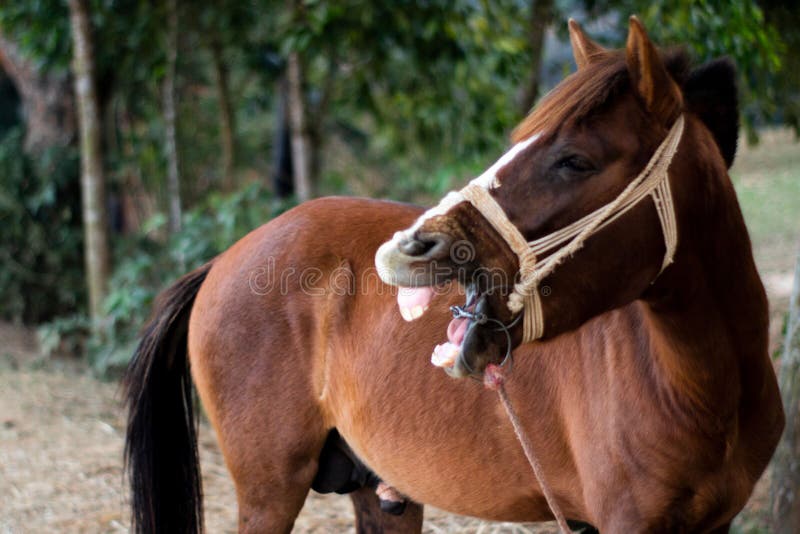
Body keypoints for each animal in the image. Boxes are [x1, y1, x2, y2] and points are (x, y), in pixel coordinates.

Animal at [123, 17, 780, 534]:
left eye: (575, 160)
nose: (415, 246)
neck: (701, 388)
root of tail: (221, 261)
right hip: (269, 492)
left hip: (379, 492)